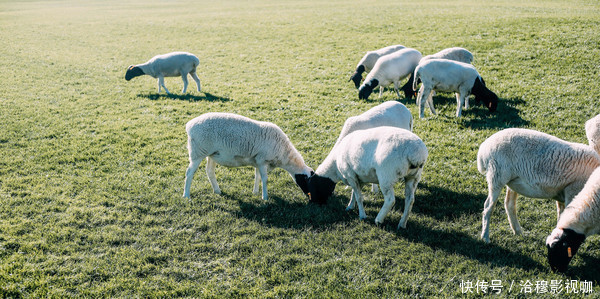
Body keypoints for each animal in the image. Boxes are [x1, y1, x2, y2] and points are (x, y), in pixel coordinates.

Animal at [183, 112, 314, 202]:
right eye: (307, 180)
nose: (310, 198)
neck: (283, 154)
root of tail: (189, 125)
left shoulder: (257, 160)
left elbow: (258, 177)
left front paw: (255, 192)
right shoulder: (262, 159)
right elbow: (265, 179)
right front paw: (265, 197)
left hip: (212, 154)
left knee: (209, 171)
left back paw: (217, 191)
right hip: (198, 152)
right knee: (189, 172)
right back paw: (186, 195)